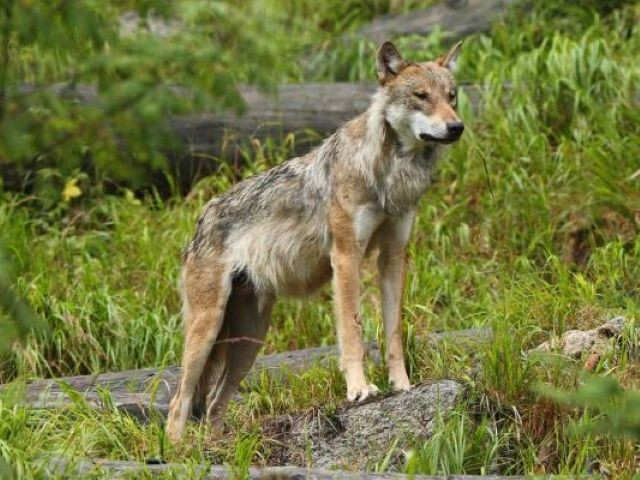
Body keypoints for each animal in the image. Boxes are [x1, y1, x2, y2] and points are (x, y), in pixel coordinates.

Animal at [166, 40, 465, 442]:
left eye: (452, 96)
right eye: (421, 96)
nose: (456, 127)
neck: (390, 173)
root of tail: (201, 218)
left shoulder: (392, 257)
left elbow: (393, 334)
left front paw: (402, 385)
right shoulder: (347, 256)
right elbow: (353, 330)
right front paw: (360, 389)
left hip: (249, 341)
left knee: (213, 403)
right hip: (208, 329)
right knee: (178, 402)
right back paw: (177, 451)